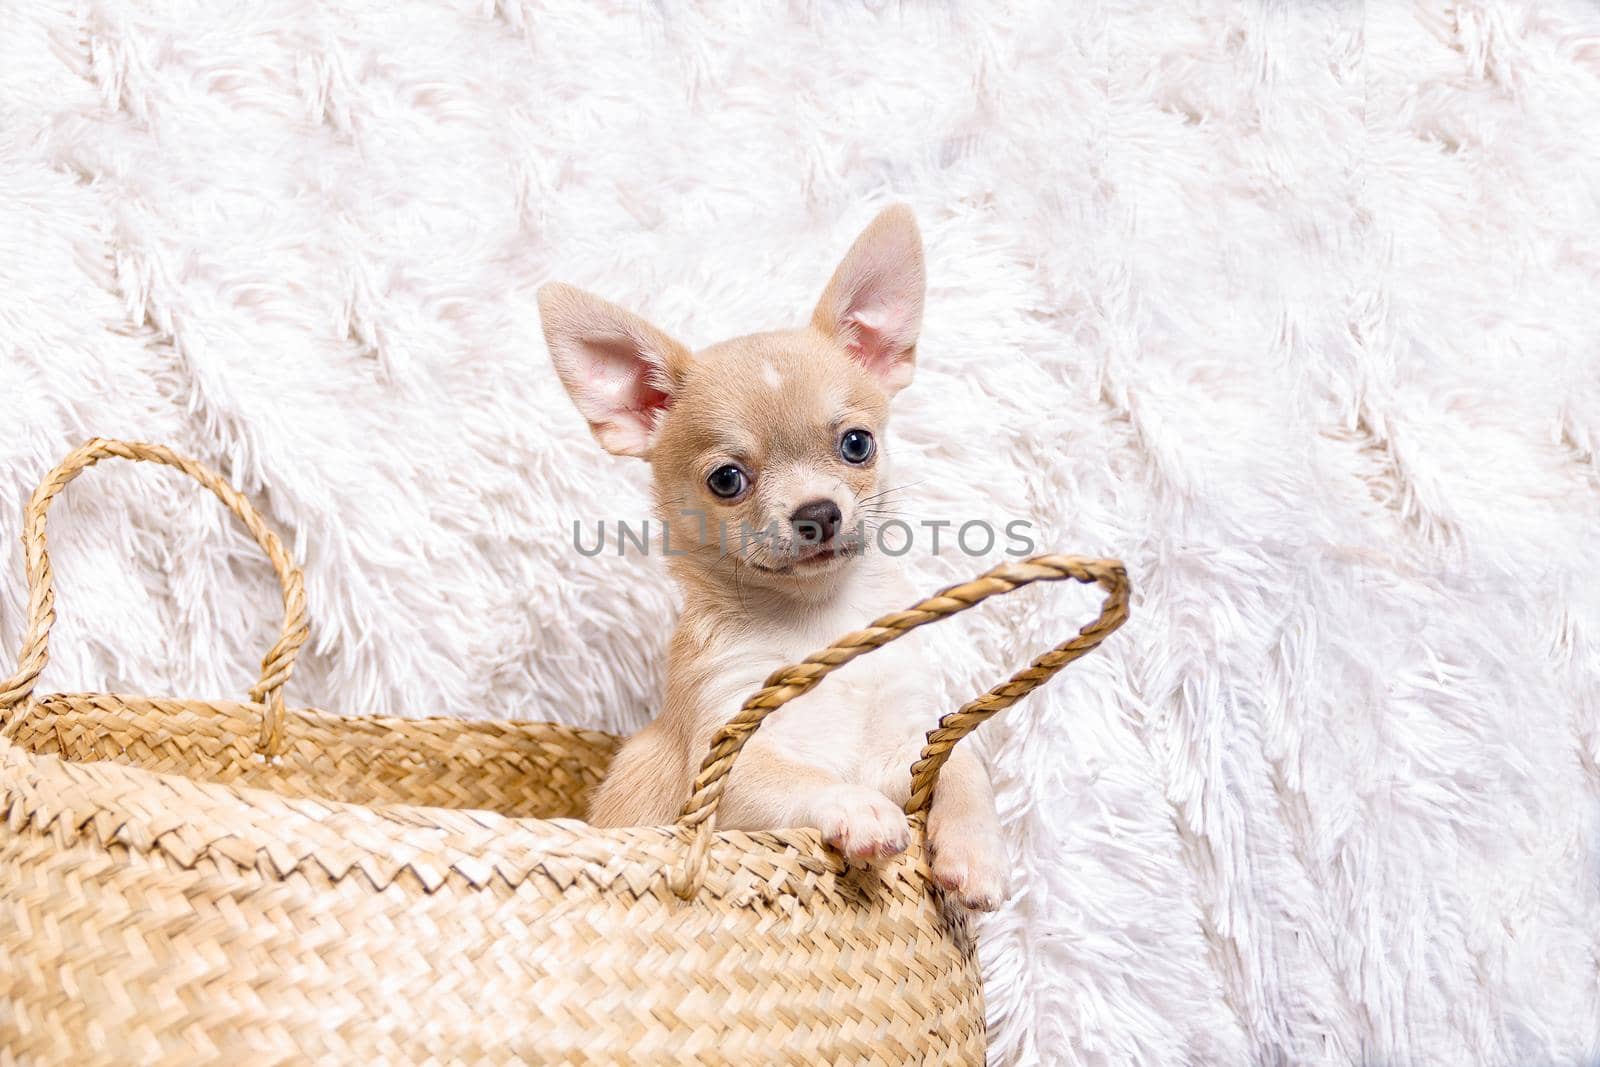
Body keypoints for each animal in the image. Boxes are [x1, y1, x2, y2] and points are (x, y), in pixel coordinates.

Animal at [544, 206, 1004, 908]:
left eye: (856, 444)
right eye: (727, 480)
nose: (819, 512)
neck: (818, 618)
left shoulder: (902, 745)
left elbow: (964, 765)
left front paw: (975, 852)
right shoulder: (724, 766)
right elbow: (802, 779)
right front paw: (860, 810)